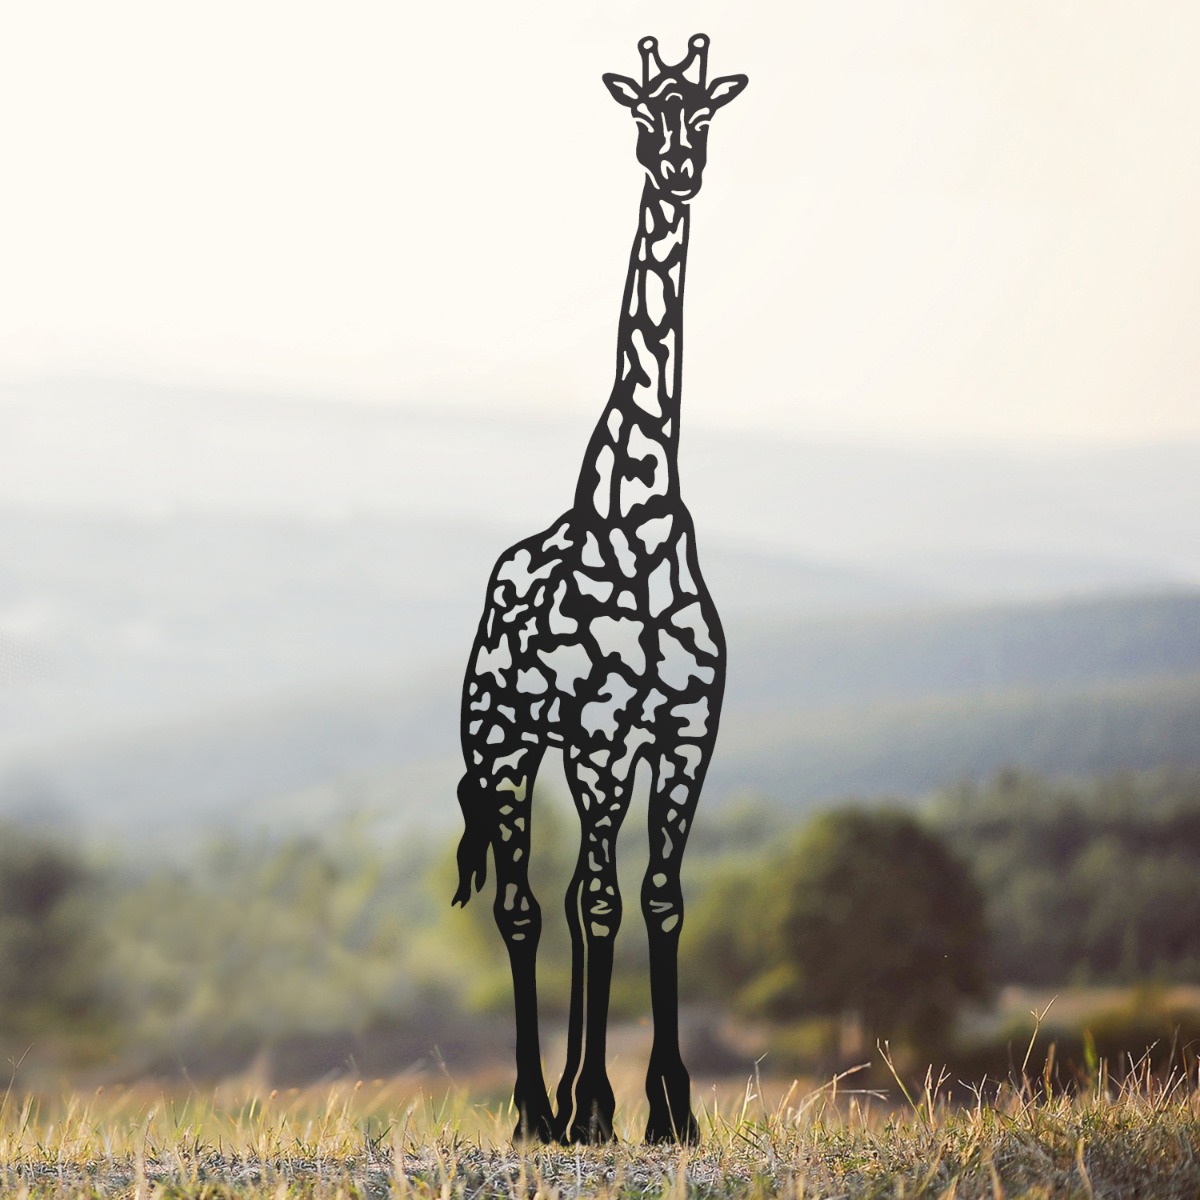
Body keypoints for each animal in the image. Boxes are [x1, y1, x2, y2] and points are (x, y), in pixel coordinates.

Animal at [453, 33, 747, 1145]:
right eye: (640, 114)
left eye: (704, 114)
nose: (679, 170)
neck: (642, 524)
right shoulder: (604, 737)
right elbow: (600, 904)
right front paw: (602, 1105)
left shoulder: (683, 733)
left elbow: (657, 899)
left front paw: (669, 1112)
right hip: (503, 742)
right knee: (528, 906)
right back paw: (540, 1111)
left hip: (568, 754)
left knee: (581, 895)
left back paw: (581, 1107)